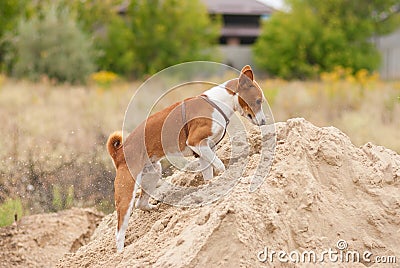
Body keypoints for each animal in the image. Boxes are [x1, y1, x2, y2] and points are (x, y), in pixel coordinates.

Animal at [108, 65, 268, 251]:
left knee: (140, 204)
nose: (264, 121)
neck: (218, 103)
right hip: (127, 191)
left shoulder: (205, 151)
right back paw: (122, 252)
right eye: (258, 101)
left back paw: (153, 209)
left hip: (153, 173)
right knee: (120, 231)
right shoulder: (196, 143)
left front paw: (212, 188)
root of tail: (119, 152)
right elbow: (221, 166)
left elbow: (209, 175)